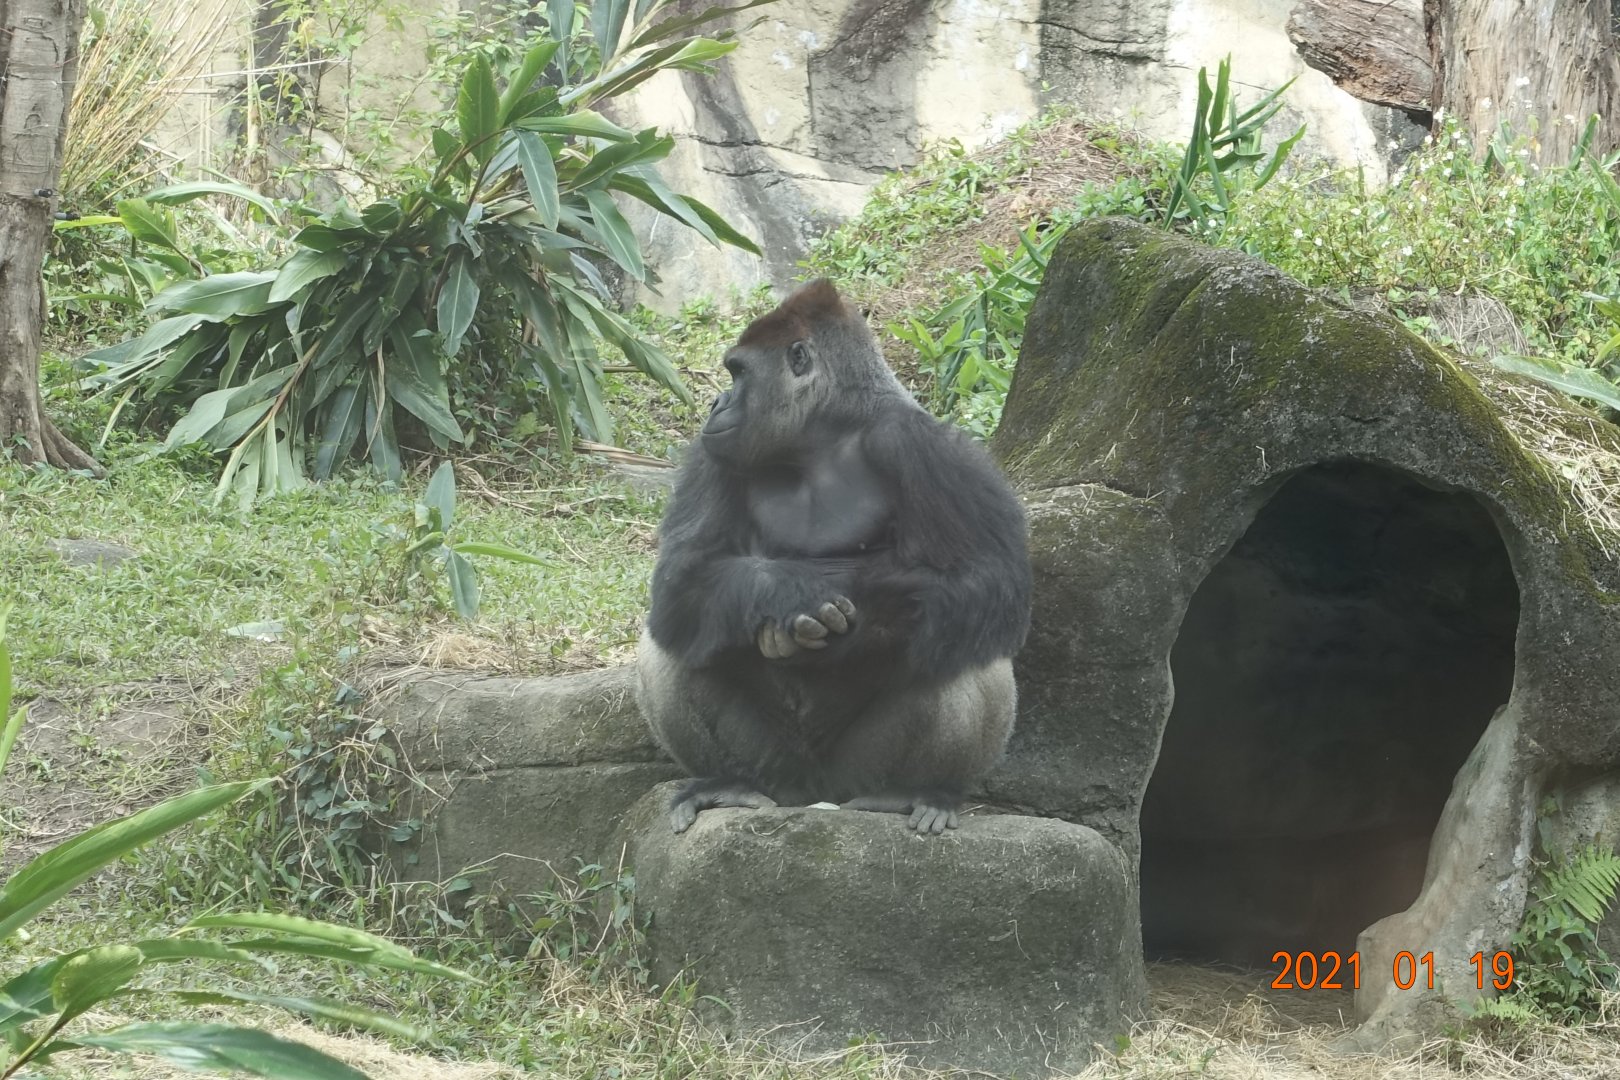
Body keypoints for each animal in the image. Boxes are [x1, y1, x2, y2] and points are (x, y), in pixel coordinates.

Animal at [635, 279, 1032, 834]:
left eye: (738, 373)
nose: (716, 401)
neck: (826, 432)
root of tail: (813, 795)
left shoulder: (927, 445)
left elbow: (988, 580)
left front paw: (851, 625)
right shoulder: (711, 454)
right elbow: (684, 578)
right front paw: (790, 594)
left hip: (854, 774)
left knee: (960, 632)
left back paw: (916, 792)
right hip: (778, 771)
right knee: (676, 635)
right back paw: (726, 783)